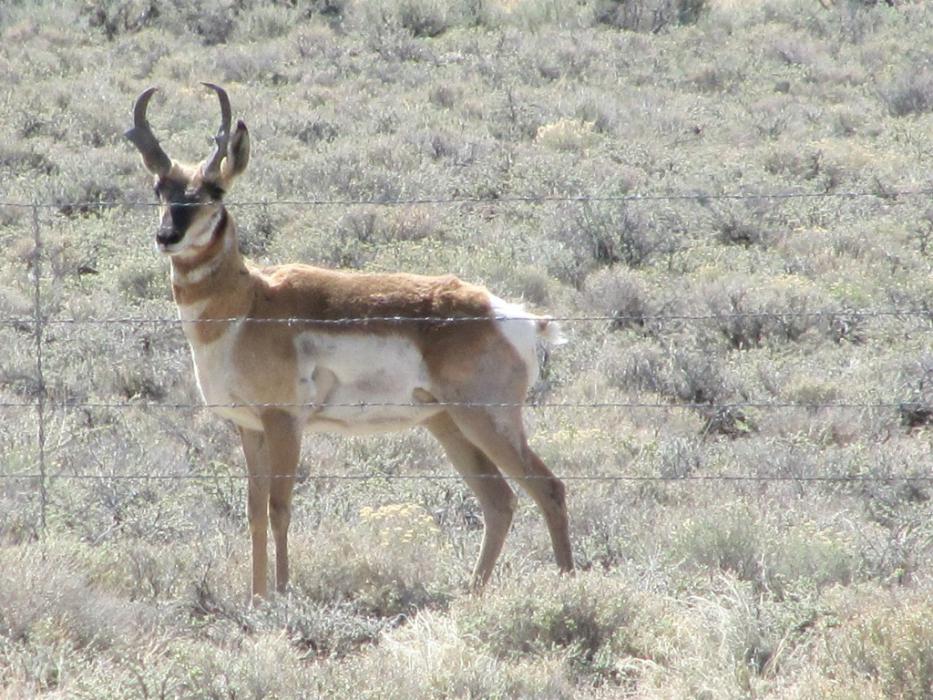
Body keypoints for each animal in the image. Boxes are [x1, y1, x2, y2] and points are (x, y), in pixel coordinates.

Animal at [125, 84, 573, 599]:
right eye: (160, 189)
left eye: (214, 190)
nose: (167, 235)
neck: (250, 302)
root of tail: (511, 316)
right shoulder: (250, 429)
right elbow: (254, 513)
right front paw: (257, 597)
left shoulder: (284, 423)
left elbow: (280, 509)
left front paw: (282, 595)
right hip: (449, 425)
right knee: (499, 500)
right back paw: (472, 594)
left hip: (486, 421)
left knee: (547, 488)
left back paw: (571, 587)